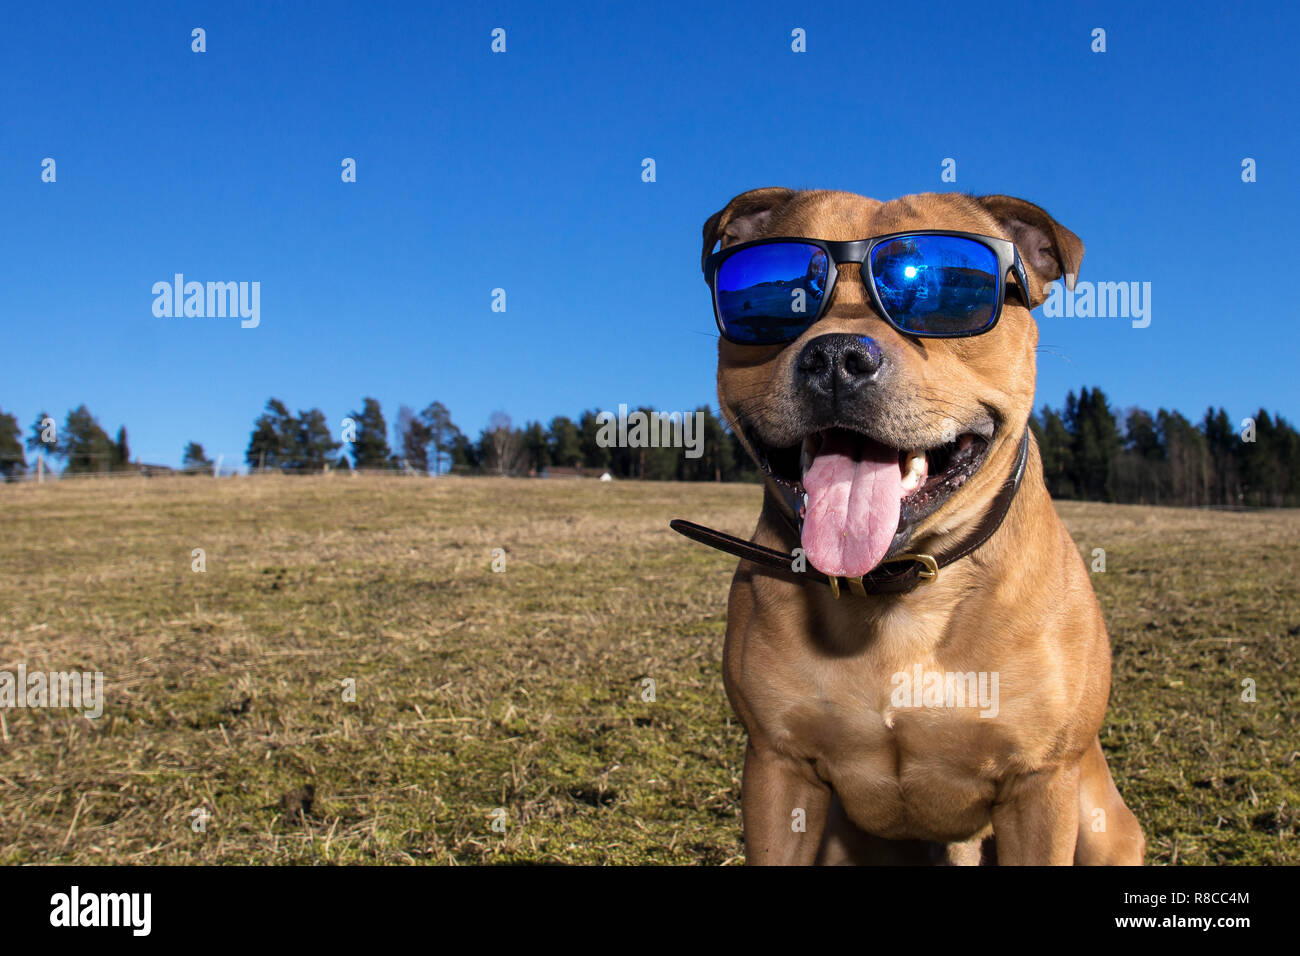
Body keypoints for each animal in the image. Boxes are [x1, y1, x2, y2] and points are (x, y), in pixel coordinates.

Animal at [696, 187, 1144, 868]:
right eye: (786, 293)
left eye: (929, 288)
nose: (836, 356)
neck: (897, 595)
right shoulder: (778, 770)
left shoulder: (1040, 785)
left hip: (1100, 823)